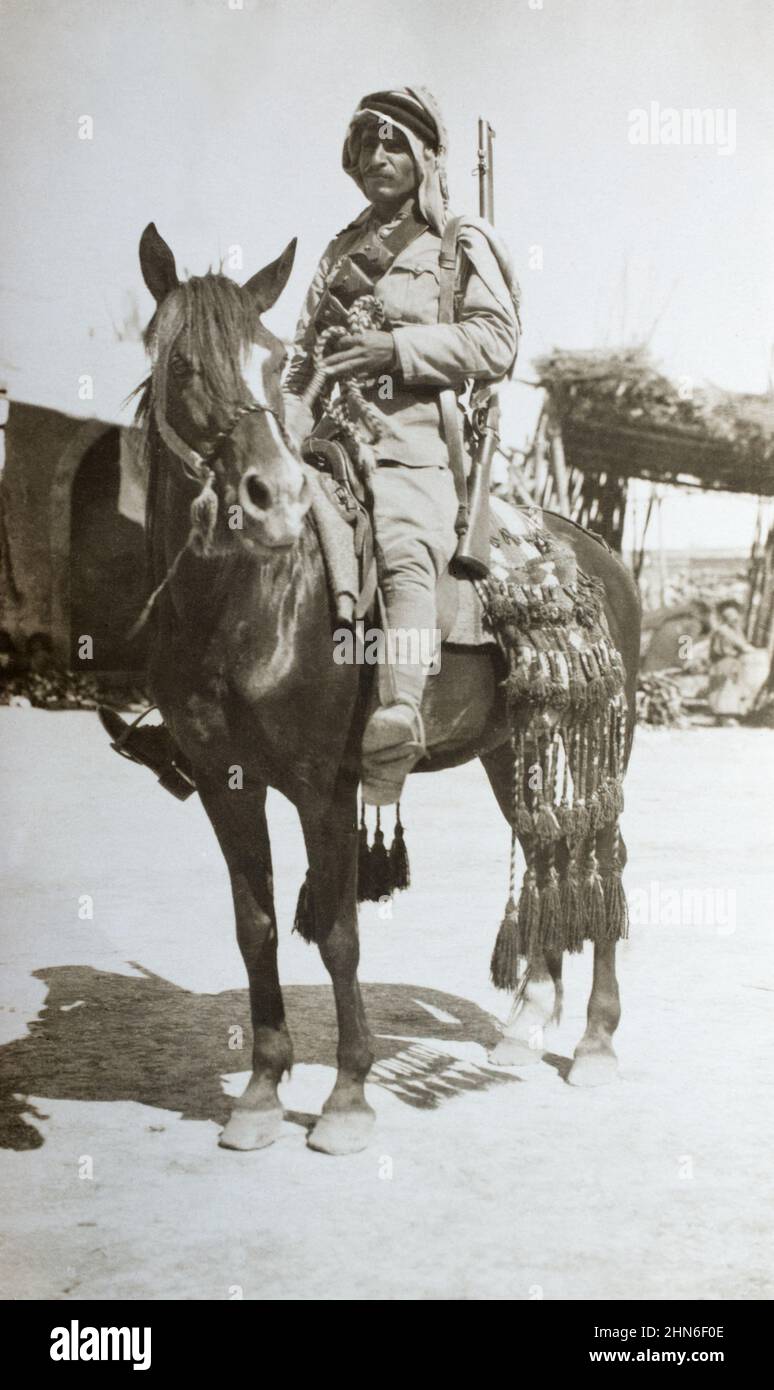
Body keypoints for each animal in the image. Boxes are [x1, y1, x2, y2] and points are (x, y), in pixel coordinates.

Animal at [134, 227, 639, 1156]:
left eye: (274, 364)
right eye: (183, 364)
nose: (275, 497)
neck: (249, 603)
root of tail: (598, 556)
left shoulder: (323, 787)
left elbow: (338, 935)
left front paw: (347, 1098)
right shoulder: (226, 783)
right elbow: (256, 929)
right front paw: (260, 1093)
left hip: (603, 745)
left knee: (598, 853)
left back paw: (593, 1041)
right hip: (511, 749)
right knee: (545, 847)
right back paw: (525, 1028)